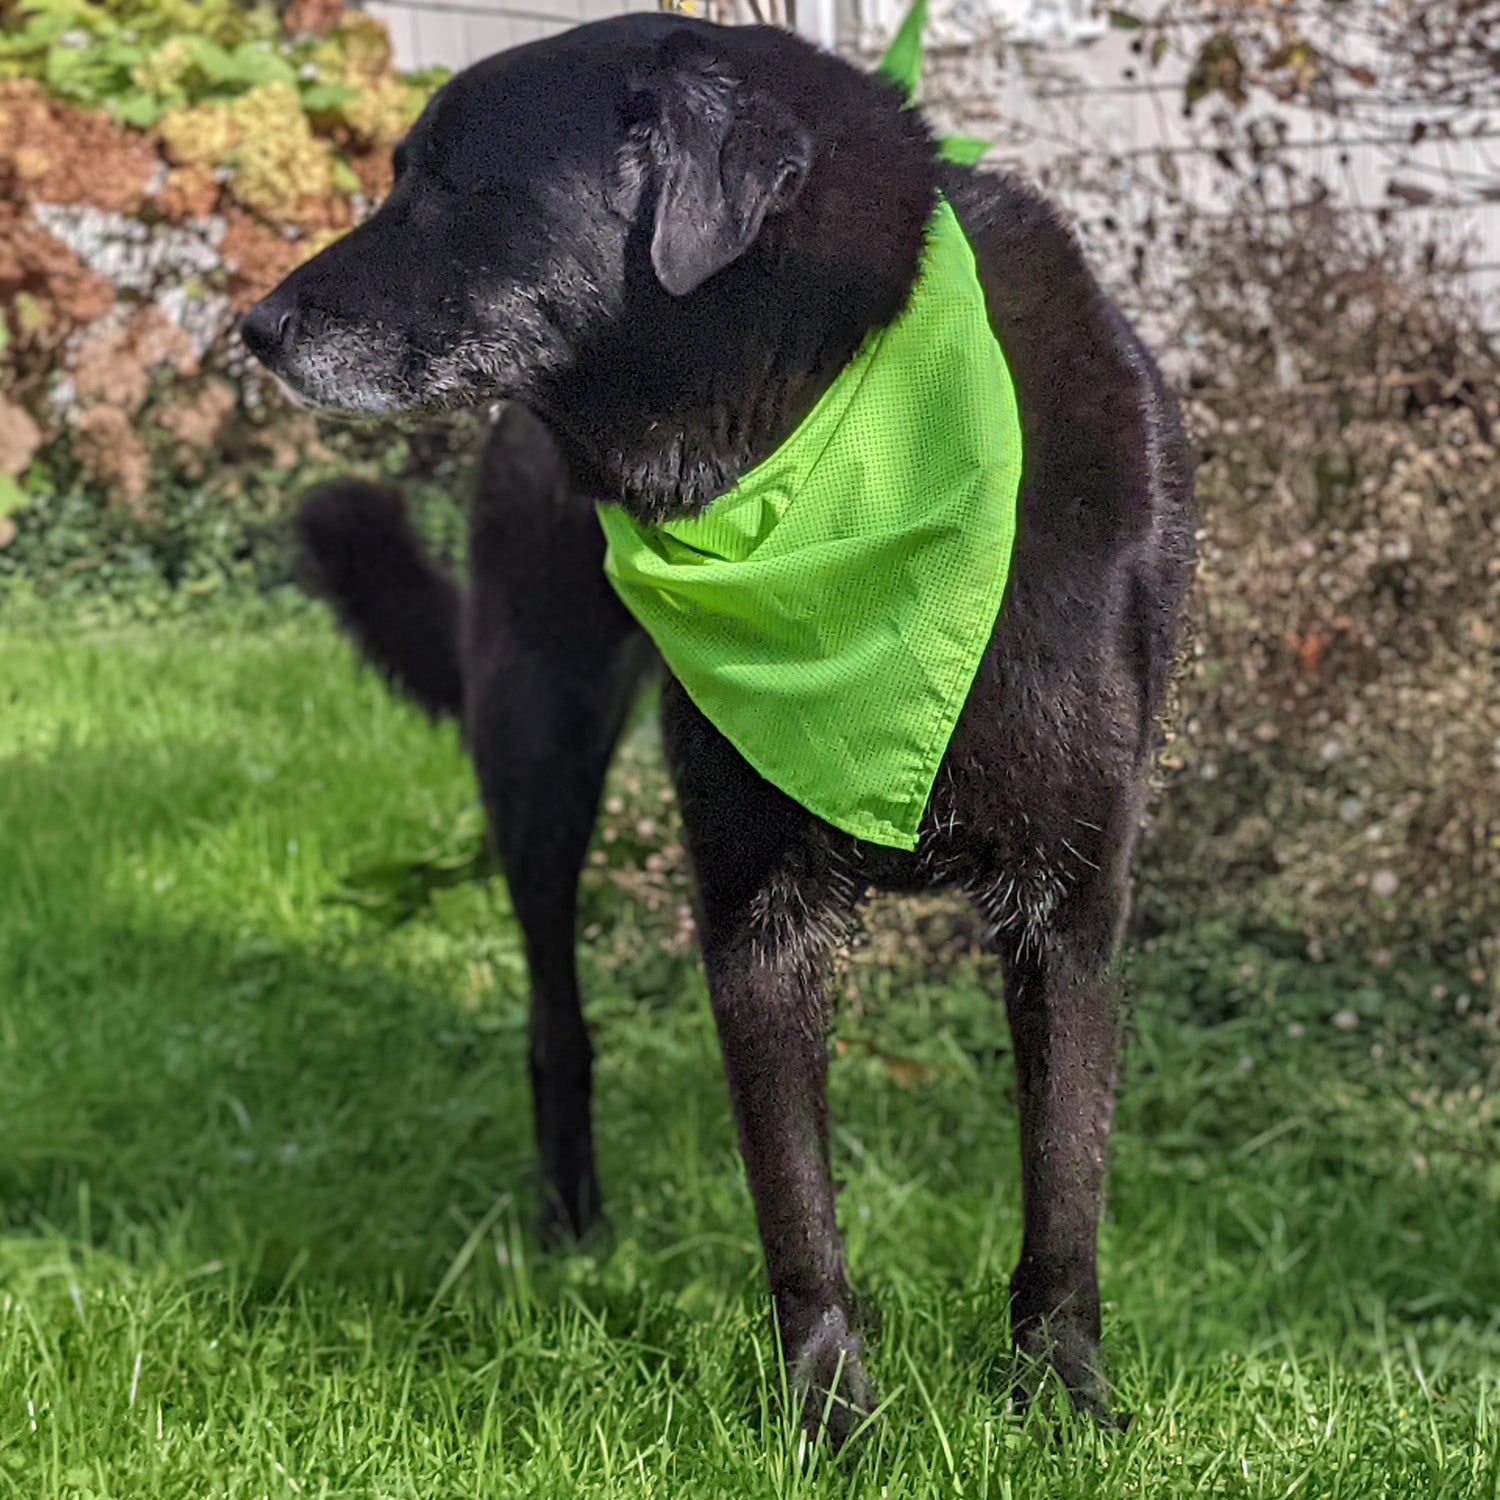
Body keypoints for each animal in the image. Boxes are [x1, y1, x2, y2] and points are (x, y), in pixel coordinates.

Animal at [240, 11, 1194, 1440]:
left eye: (451, 186)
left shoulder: (1072, 906)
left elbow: (1063, 1187)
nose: (252, 326)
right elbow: (798, 1218)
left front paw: (1065, 1401)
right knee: (556, 1022)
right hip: (536, 752)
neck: (819, 425)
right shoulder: (754, 916)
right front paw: (833, 1426)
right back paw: (573, 1233)